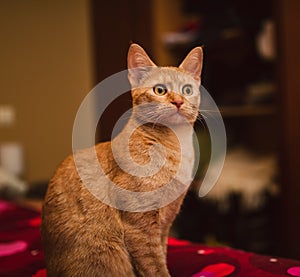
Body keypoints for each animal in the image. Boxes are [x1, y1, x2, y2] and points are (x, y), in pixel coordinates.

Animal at [41, 43, 203, 276]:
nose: (179, 101)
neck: (175, 146)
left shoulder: (165, 224)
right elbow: (155, 267)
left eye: (187, 90)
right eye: (160, 90)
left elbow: (162, 255)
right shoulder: (140, 228)